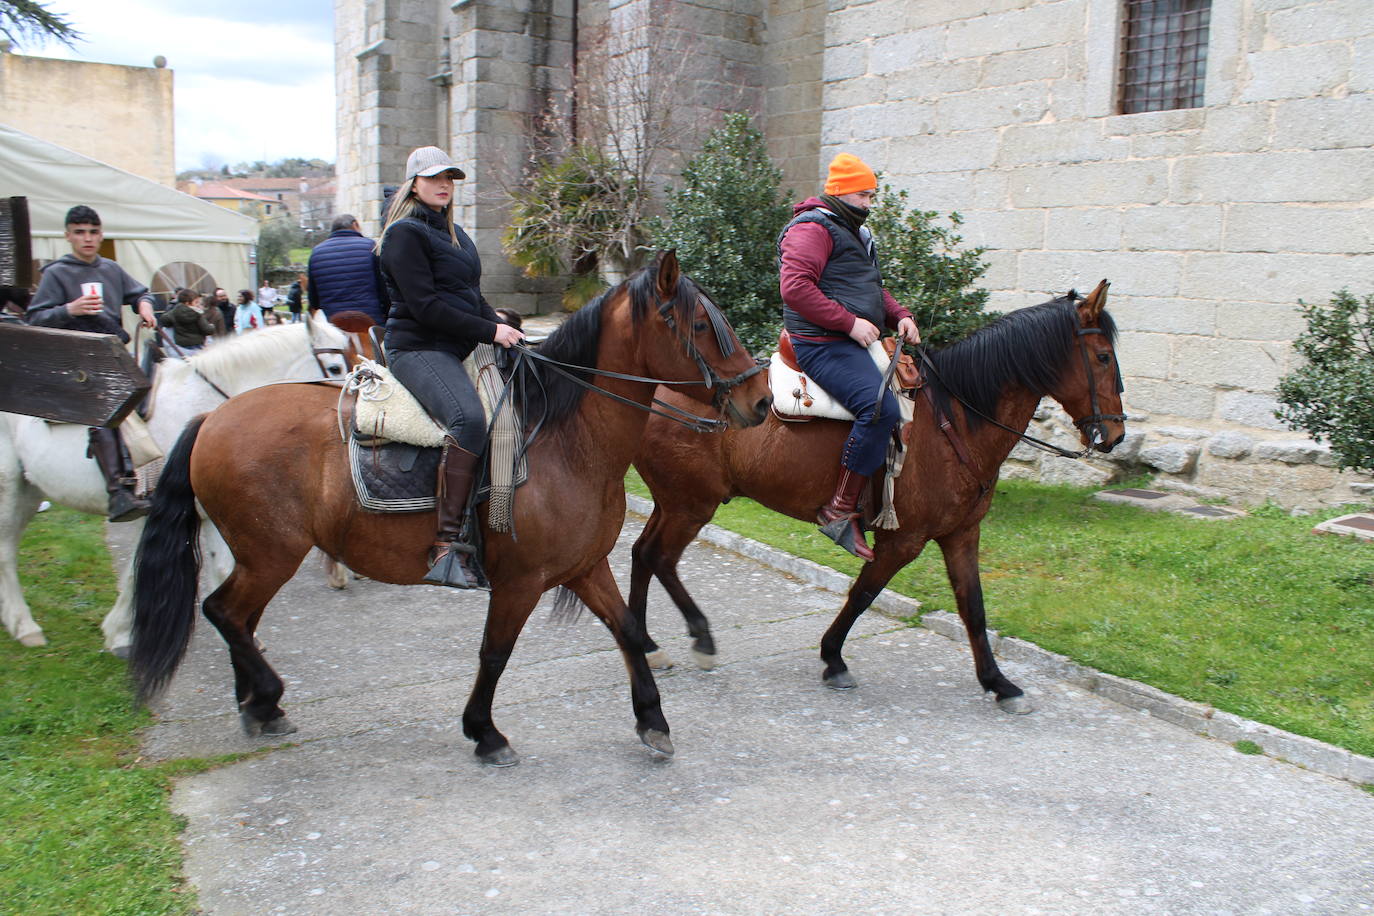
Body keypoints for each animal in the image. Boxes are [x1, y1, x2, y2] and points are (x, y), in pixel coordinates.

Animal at [2, 315, 348, 650]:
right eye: (334, 368)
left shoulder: (210, 516)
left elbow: (220, 569)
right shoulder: (157, 509)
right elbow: (136, 570)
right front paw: (120, 633)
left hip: (28, 492)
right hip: (9, 490)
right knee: (6, 552)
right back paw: (26, 626)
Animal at [133, 252, 780, 769]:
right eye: (701, 324)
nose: (761, 399)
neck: (565, 438)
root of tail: (210, 418)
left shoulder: (584, 566)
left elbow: (624, 630)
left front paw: (652, 720)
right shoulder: (521, 580)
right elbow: (495, 653)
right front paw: (485, 732)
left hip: (261, 556)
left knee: (237, 617)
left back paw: (257, 704)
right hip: (270, 553)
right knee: (224, 612)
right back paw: (266, 696)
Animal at [629, 282, 1121, 714]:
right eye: (1102, 356)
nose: (1115, 434)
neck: (956, 421)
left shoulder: (961, 533)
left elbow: (973, 608)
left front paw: (999, 683)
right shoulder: (902, 541)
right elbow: (863, 594)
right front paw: (833, 658)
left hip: (673, 502)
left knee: (642, 554)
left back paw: (647, 646)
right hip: (691, 504)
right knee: (659, 557)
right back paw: (698, 639)